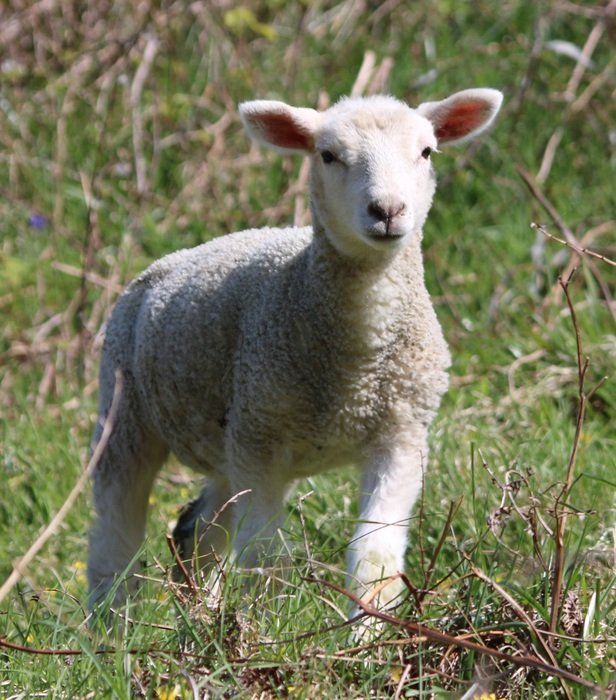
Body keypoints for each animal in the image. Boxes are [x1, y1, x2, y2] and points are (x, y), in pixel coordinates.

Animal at [86, 86, 502, 612]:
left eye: (426, 151)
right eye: (328, 155)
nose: (387, 211)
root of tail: (164, 263)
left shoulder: (402, 436)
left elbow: (375, 558)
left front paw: (366, 630)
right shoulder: (261, 442)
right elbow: (267, 556)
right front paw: (273, 622)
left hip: (229, 440)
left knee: (197, 529)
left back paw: (199, 609)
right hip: (128, 415)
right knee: (114, 536)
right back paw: (111, 625)